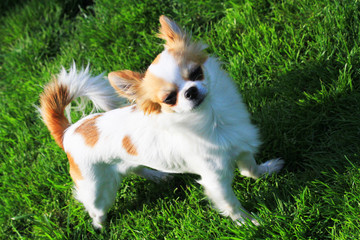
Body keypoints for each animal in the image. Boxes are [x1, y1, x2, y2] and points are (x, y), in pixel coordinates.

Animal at [40, 15, 284, 229]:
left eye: (196, 73)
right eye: (168, 99)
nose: (191, 91)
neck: (213, 115)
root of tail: (68, 131)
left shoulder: (241, 148)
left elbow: (250, 170)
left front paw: (267, 170)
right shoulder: (215, 178)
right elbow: (231, 204)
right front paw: (248, 222)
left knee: (135, 168)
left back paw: (157, 176)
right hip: (96, 189)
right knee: (96, 210)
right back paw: (100, 227)